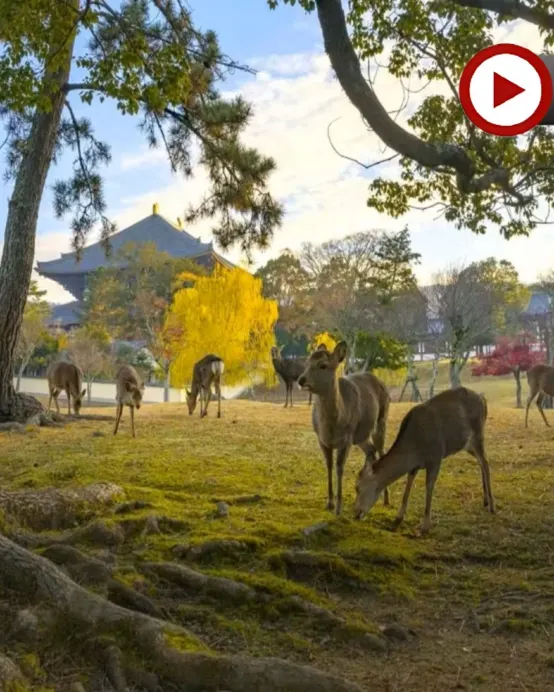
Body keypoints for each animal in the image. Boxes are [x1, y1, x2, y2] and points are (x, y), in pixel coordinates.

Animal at [297, 341, 390, 516]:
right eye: (306, 363)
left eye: (323, 365)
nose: (301, 380)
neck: (332, 427)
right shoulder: (322, 440)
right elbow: (328, 465)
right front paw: (329, 503)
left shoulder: (346, 439)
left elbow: (339, 468)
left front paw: (338, 508)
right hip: (361, 435)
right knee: (371, 450)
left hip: (381, 420)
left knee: (381, 451)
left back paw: (386, 500)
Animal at [354, 387, 495, 535]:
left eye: (358, 487)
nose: (356, 512)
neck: (415, 449)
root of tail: (483, 399)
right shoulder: (414, 466)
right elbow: (409, 483)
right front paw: (398, 517)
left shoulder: (436, 457)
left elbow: (429, 486)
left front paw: (425, 525)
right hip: (467, 445)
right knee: (481, 462)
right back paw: (485, 500)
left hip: (478, 436)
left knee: (485, 462)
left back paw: (492, 506)